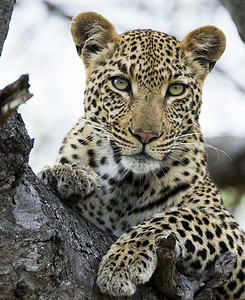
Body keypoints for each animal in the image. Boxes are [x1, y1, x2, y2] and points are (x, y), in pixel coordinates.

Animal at [37, 10, 245, 298]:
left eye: (176, 89)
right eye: (120, 83)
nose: (146, 135)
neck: (128, 183)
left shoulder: (232, 234)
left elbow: (178, 218)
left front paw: (123, 261)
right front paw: (67, 174)